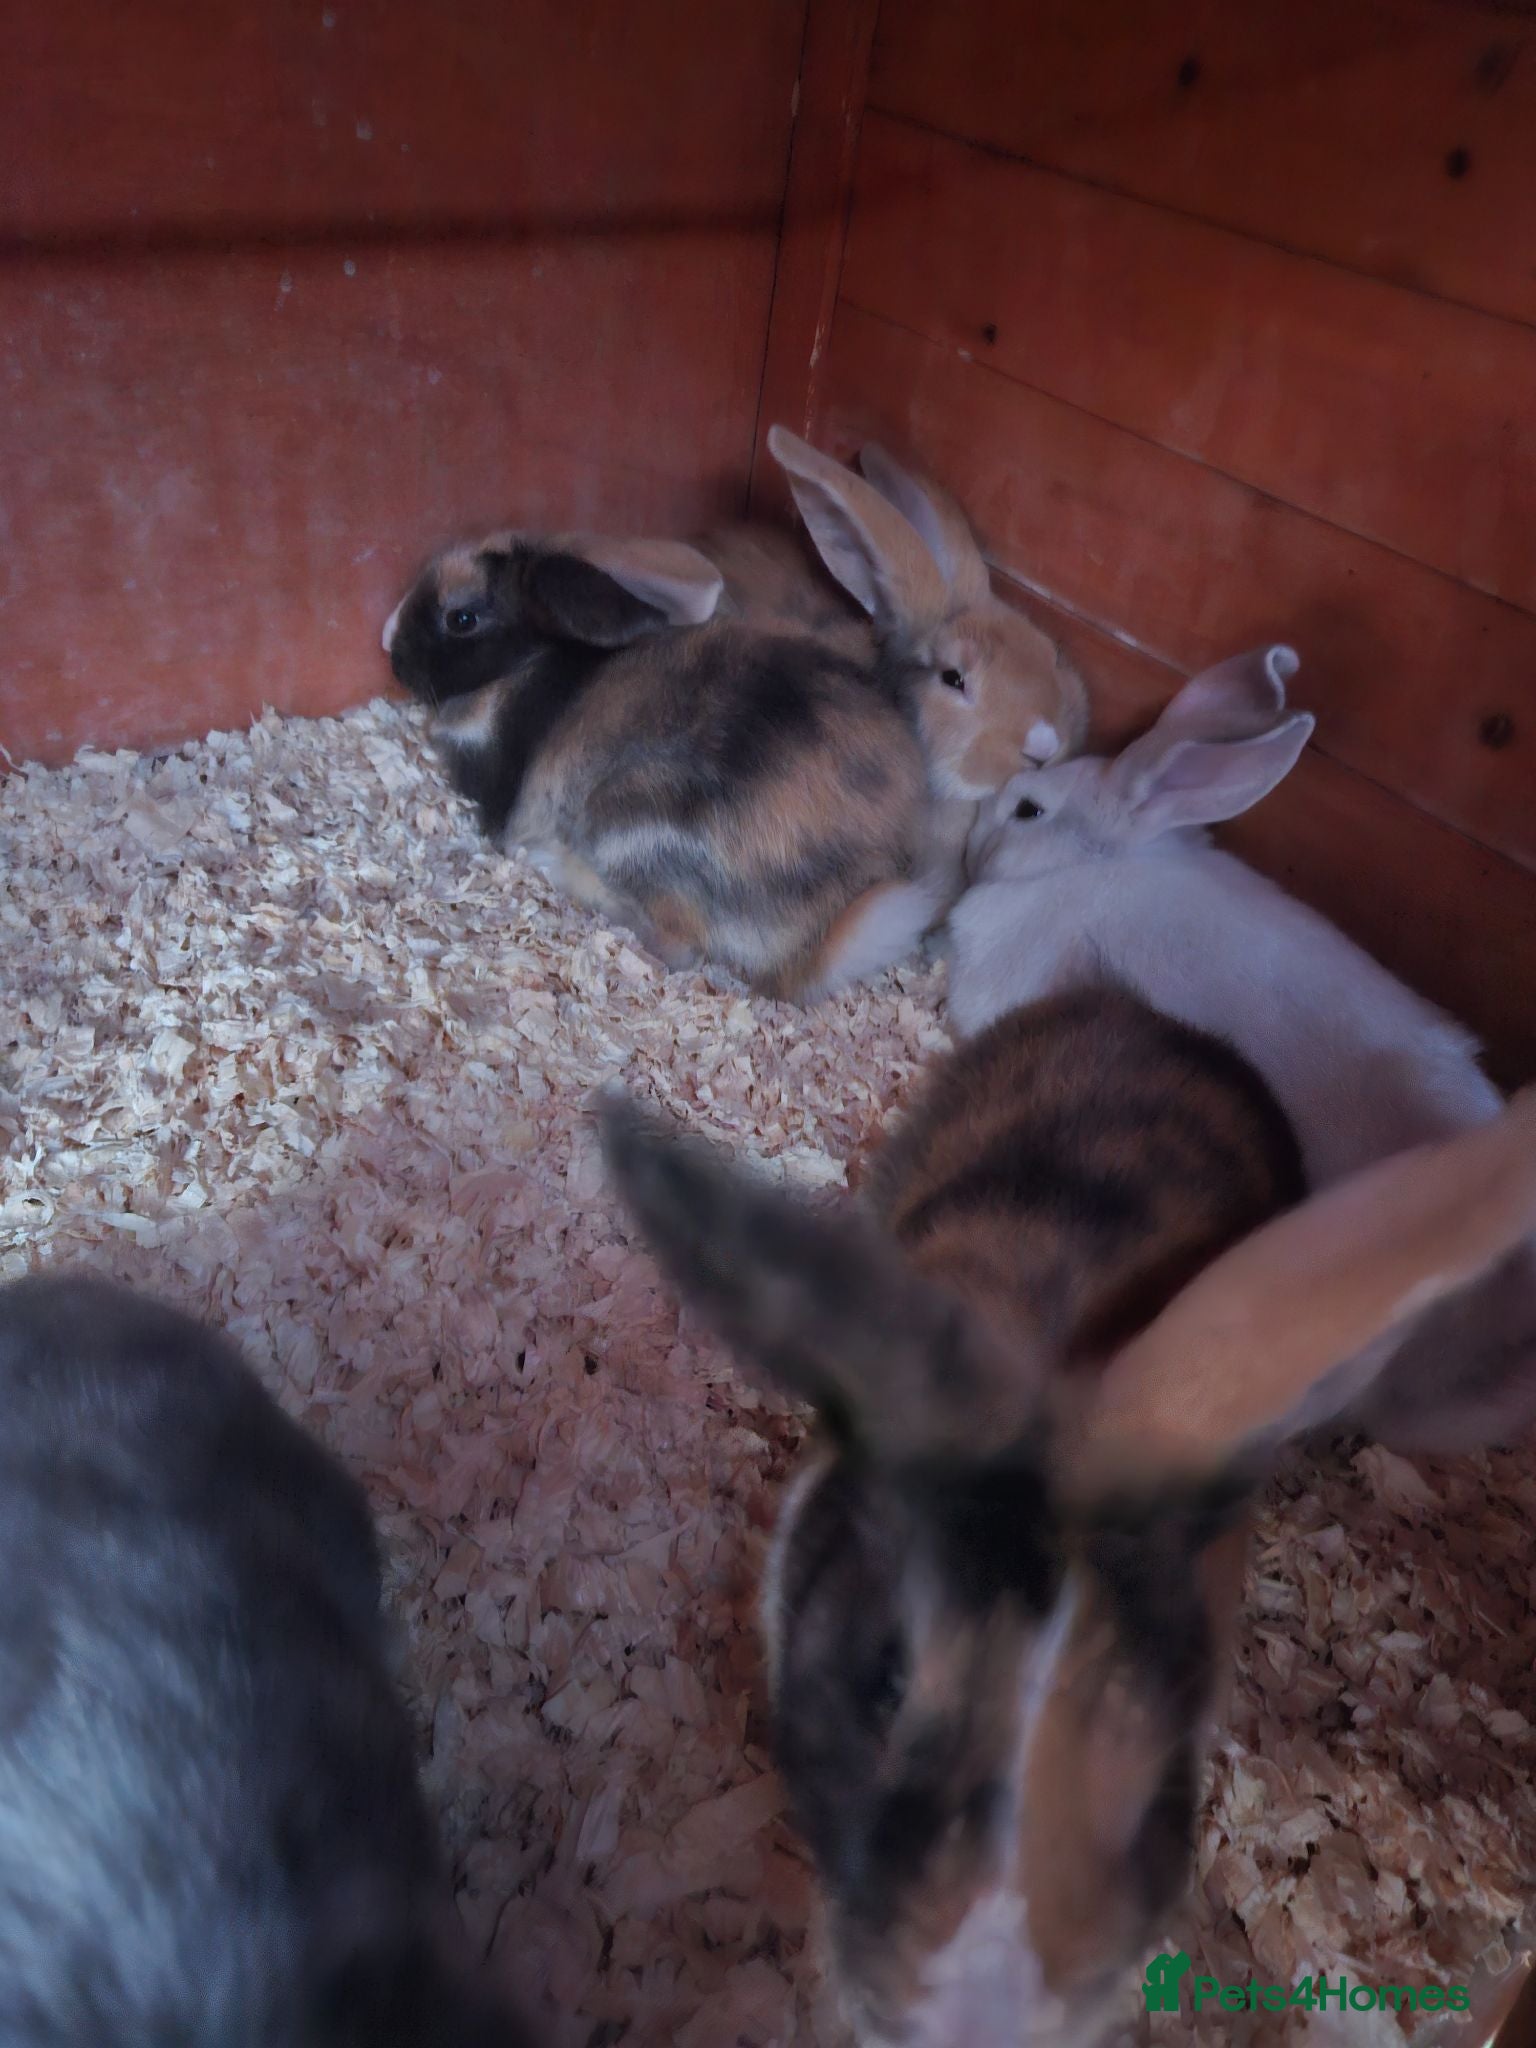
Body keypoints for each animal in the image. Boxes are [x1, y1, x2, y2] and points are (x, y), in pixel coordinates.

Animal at [383, 525, 950, 1002]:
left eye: (461, 618)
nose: (391, 650)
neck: (520, 673)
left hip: (627, 823)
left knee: (675, 946)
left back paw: (551, 866)